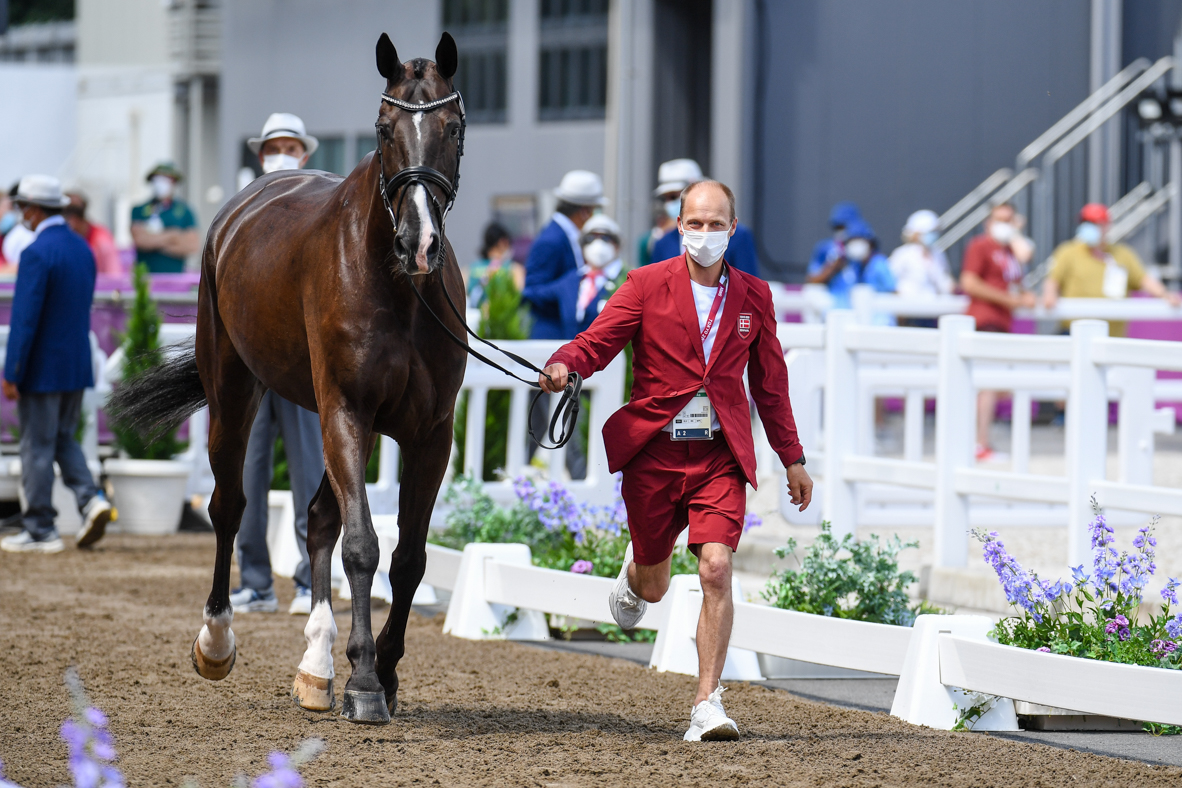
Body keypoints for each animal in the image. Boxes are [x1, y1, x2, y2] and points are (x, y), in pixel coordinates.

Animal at [107, 32, 465, 727]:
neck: (400, 290)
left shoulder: (430, 433)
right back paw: (218, 641)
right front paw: (364, 682)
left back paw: (316, 666)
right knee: (230, 505)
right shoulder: (348, 410)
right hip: (236, 390)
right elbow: (363, 545)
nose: (419, 243)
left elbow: (407, 558)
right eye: (383, 130)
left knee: (318, 517)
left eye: (453, 126)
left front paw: (380, 669)